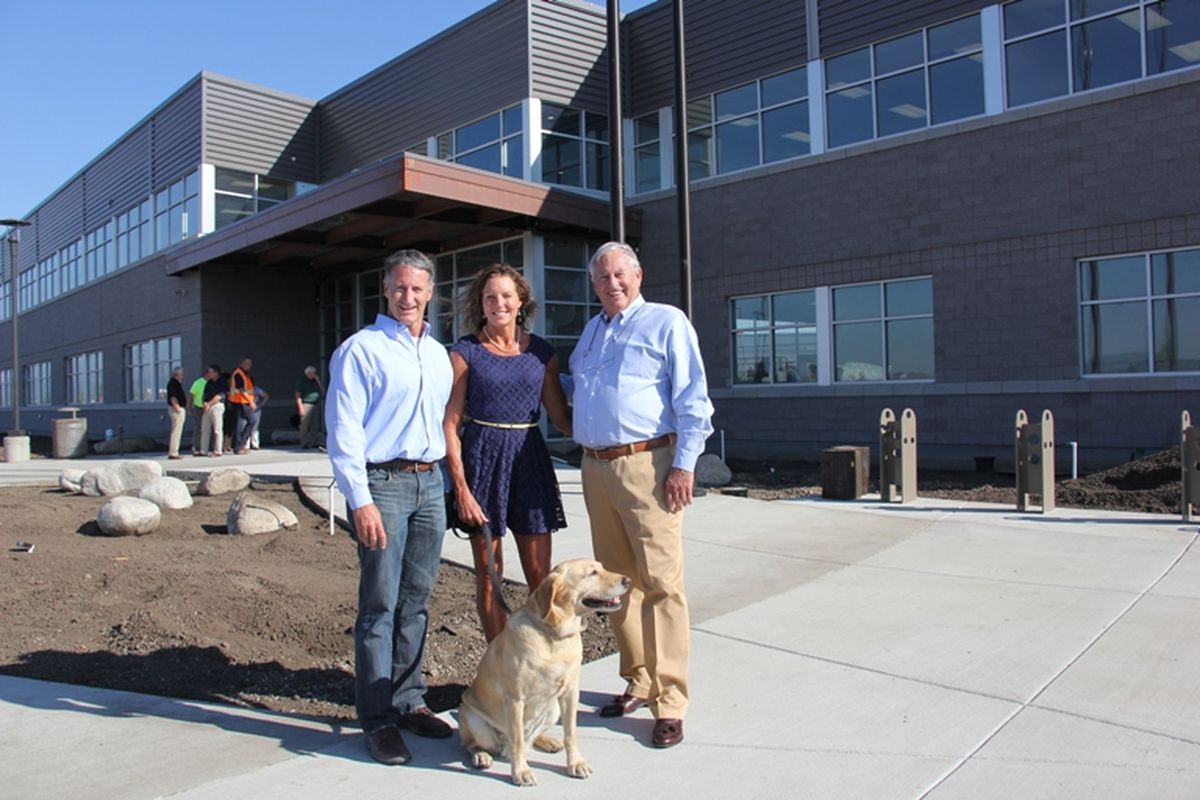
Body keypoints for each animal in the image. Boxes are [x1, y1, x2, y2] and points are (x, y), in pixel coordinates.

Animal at [456, 561, 628, 786]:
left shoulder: (570, 693)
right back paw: (481, 756)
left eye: (602, 567)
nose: (628, 580)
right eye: (592, 573)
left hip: (553, 709)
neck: (554, 635)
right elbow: (518, 741)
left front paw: (576, 763)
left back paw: (549, 741)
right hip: (472, 717)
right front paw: (521, 772)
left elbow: (571, 733)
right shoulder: (515, 699)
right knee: (473, 744)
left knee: (532, 736)